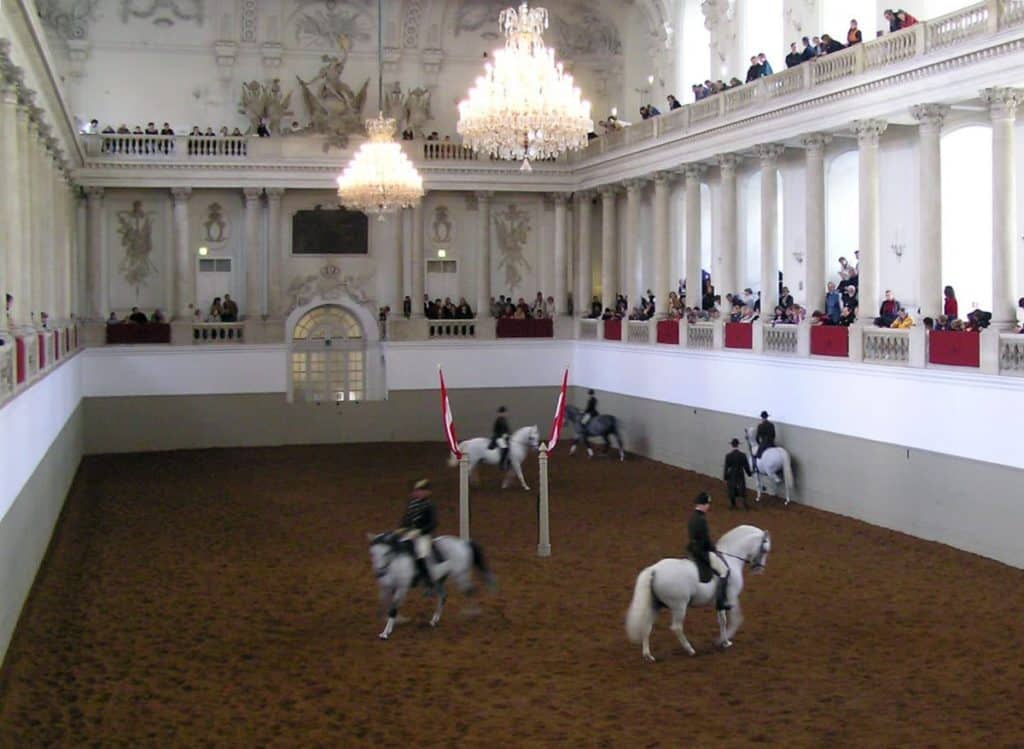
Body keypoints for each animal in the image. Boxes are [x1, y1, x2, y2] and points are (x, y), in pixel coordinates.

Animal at [622, 528, 770, 663]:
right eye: (765, 550)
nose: (760, 568)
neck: (730, 559)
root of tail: (655, 570)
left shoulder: (719, 602)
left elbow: (722, 620)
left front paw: (725, 642)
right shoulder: (732, 597)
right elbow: (736, 619)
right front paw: (723, 641)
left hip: (656, 605)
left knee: (647, 626)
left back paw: (648, 656)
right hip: (679, 606)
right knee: (676, 627)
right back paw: (690, 650)